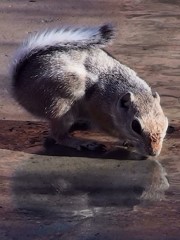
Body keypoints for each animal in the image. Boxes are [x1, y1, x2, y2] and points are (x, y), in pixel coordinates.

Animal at [10, 23, 169, 157]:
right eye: (135, 126)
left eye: (164, 122)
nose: (154, 153)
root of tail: (20, 90)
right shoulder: (99, 113)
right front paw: (128, 140)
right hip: (62, 105)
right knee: (59, 136)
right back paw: (82, 143)